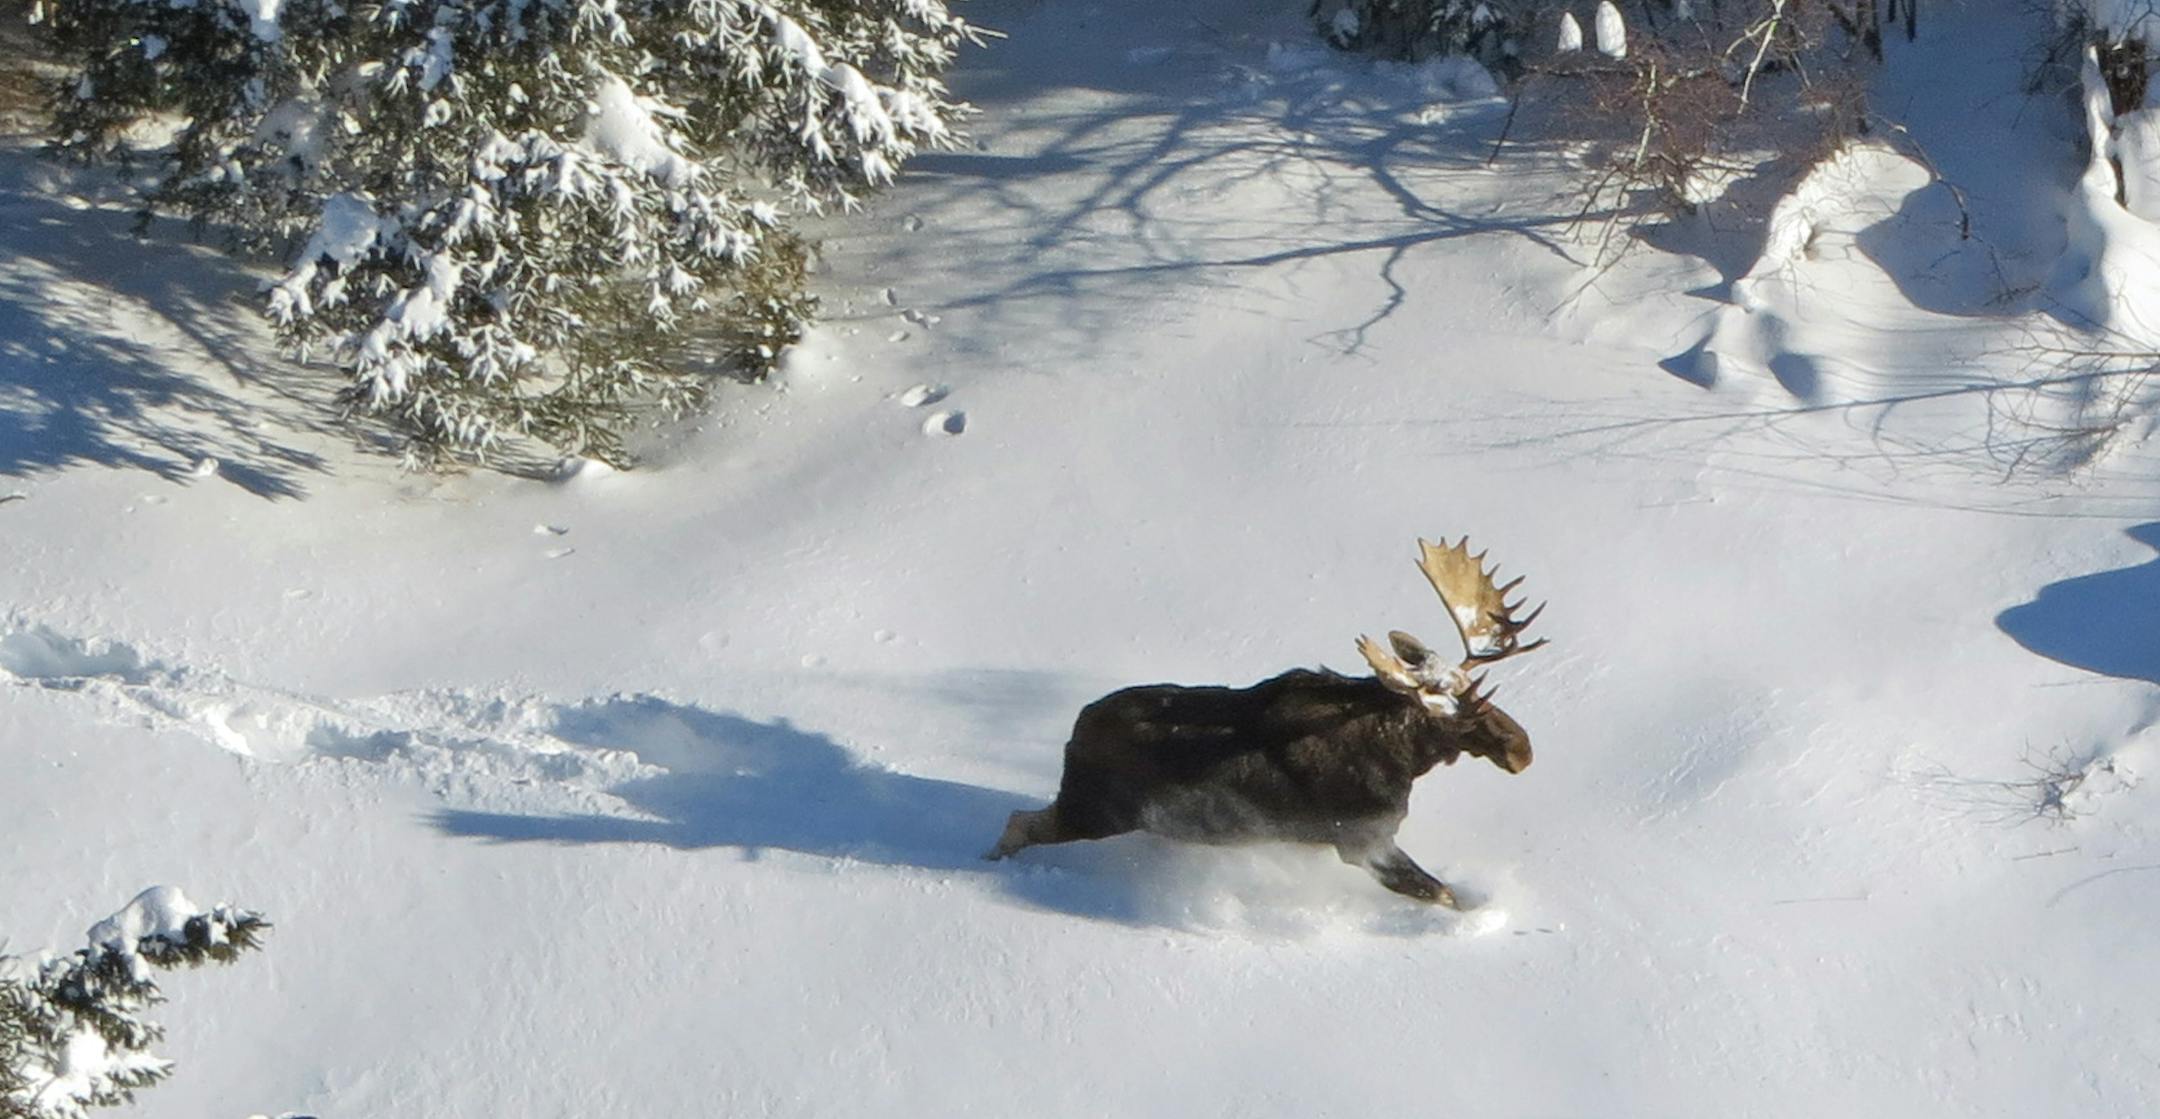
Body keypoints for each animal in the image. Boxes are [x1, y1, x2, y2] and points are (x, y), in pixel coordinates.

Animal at [986, 537, 1547, 908]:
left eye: (1474, 686)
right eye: (1458, 711)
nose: (1521, 749)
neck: (1406, 759)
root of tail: (1074, 732)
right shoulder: (1364, 842)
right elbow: (1444, 894)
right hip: (1094, 812)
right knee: (1018, 823)